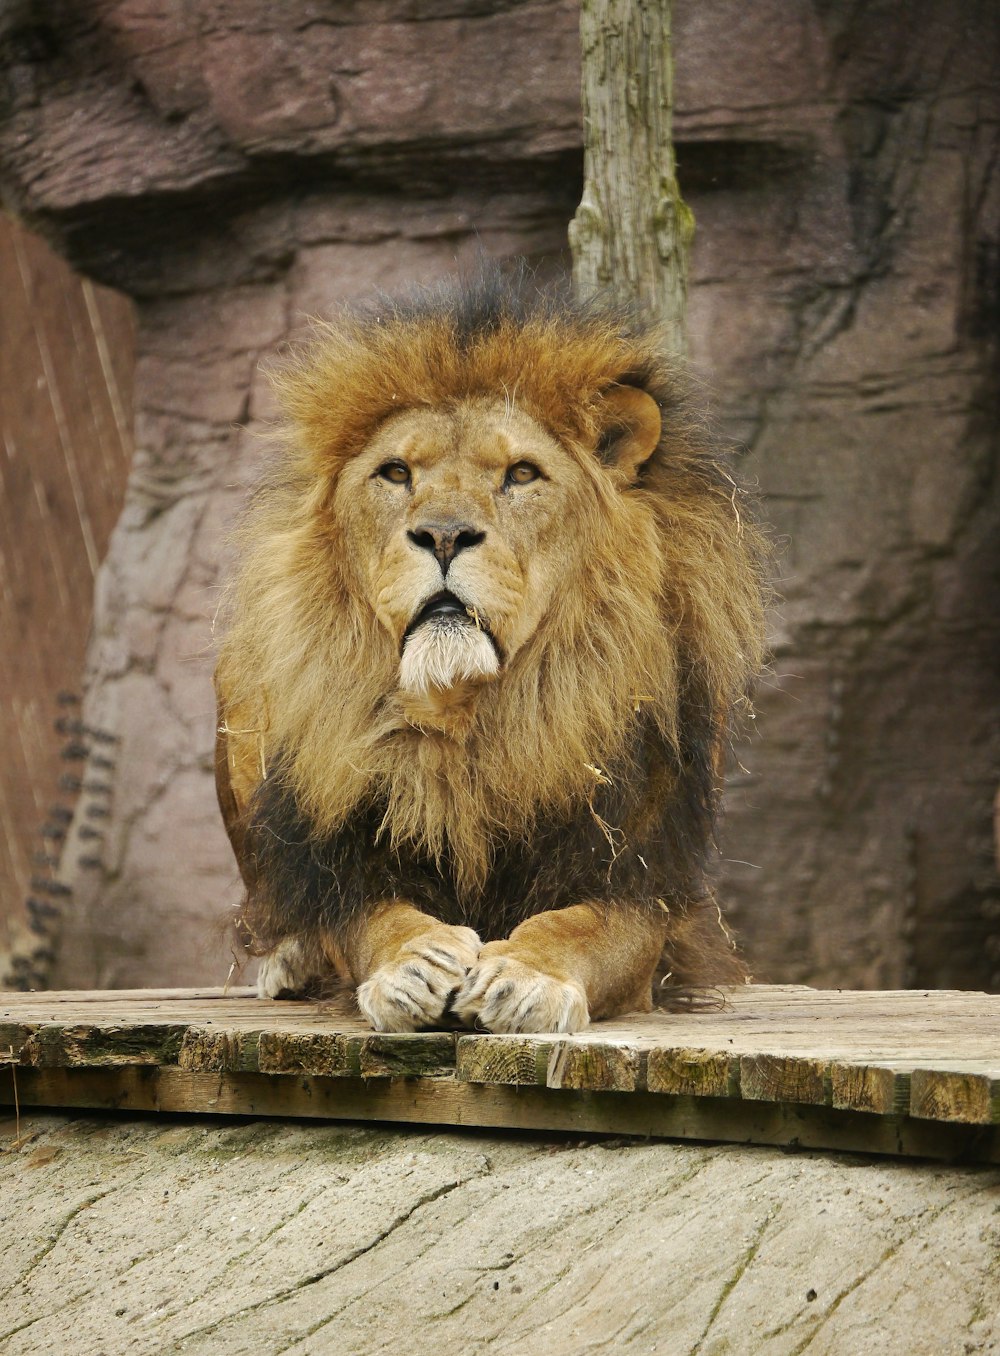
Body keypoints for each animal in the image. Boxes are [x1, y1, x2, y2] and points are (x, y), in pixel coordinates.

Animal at [214, 264, 770, 1030]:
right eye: (396, 473)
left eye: (521, 474)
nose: (444, 534)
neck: (470, 714)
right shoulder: (348, 859)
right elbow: (371, 920)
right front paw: (412, 963)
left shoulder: (637, 878)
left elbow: (581, 927)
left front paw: (527, 977)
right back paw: (287, 963)